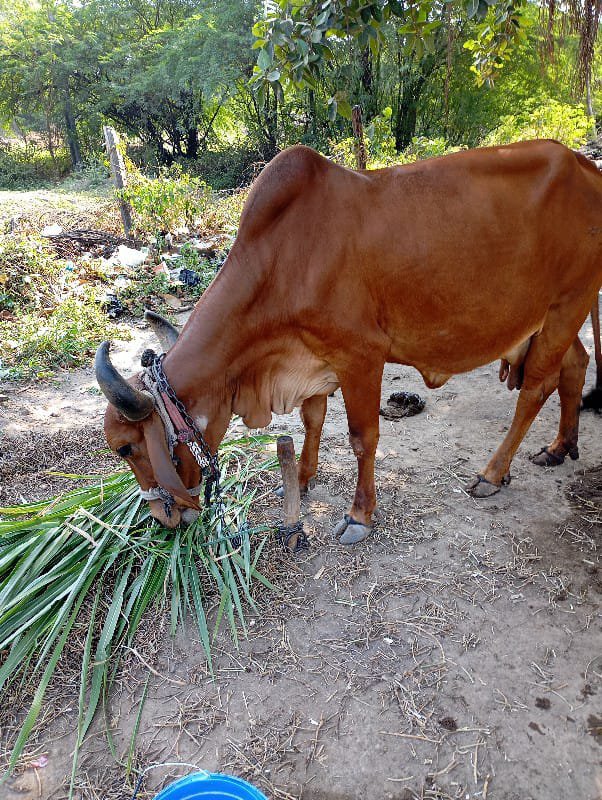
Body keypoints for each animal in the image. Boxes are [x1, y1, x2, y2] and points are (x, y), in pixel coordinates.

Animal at [94, 141, 600, 548]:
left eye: (125, 448)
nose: (161, 517)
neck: (280, 261)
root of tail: (584, 165)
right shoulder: (314, 358)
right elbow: (312, 420)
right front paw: (301, 478)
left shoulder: (361, 357)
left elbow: (362, 438)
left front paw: (359, 515)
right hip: (550, 319)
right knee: (576, 365)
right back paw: (560, 448)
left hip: (568, 304)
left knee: (535, 390)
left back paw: (492, 473)